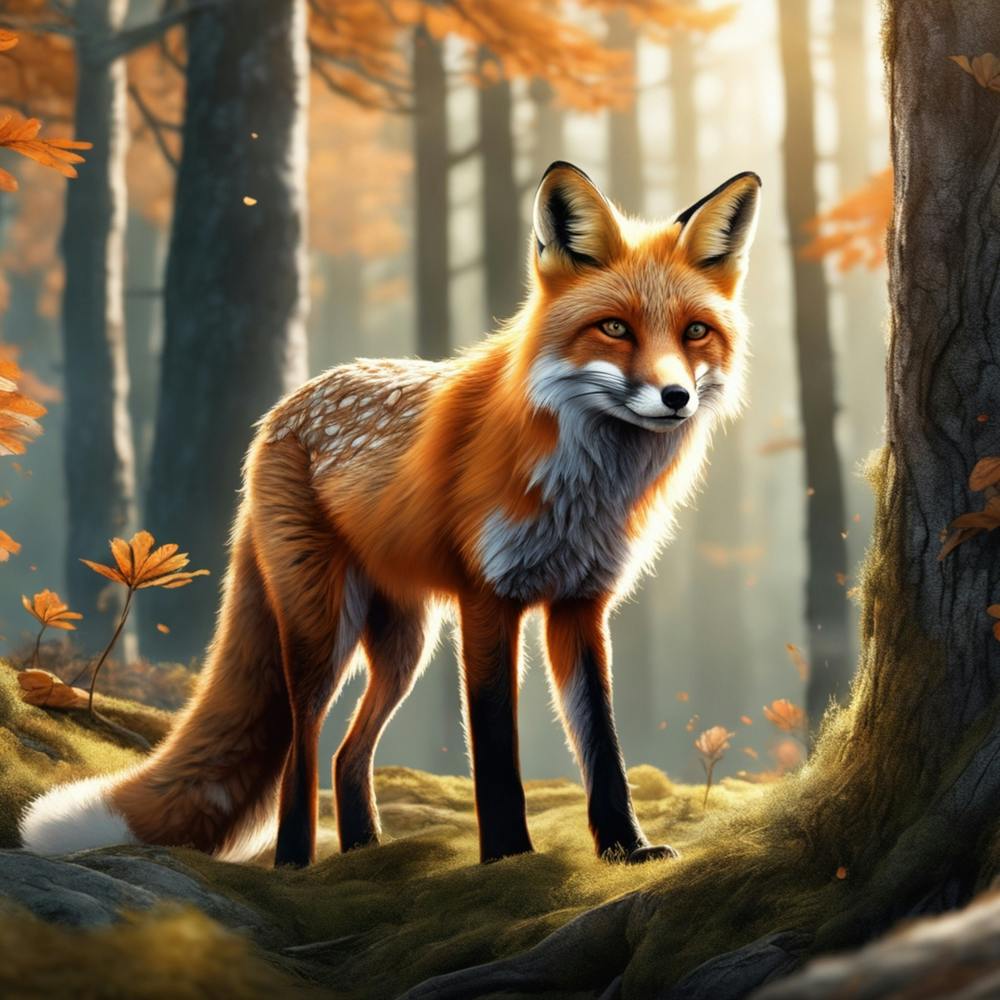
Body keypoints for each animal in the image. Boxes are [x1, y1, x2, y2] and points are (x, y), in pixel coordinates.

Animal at [20, 162, 760, 868]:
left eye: (695, 332)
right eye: (614, 328)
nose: (675, 396)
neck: (583, 486)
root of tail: (279, 412)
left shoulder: (580, 603)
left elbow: (602, 744)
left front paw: (626, 849)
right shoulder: (488, 598)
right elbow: (495, 747)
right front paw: (508, 856)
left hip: (406, 642)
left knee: (349, 752)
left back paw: (365, 850)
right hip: (322, 628)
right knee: (303, 747)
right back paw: (295, 864)